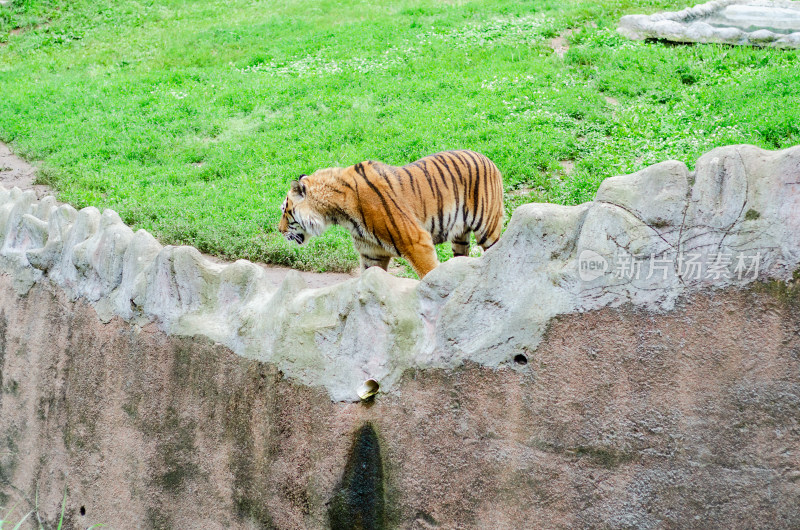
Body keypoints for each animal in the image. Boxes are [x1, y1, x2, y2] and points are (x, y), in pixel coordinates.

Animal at [278, 150, 504, 276]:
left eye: (284, 211)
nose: (279, 230)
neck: (339, 214)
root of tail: (489, 159)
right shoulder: (371, 254)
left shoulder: (417, 242)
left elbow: (429, 275)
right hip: (460, 236)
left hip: (487, 228)